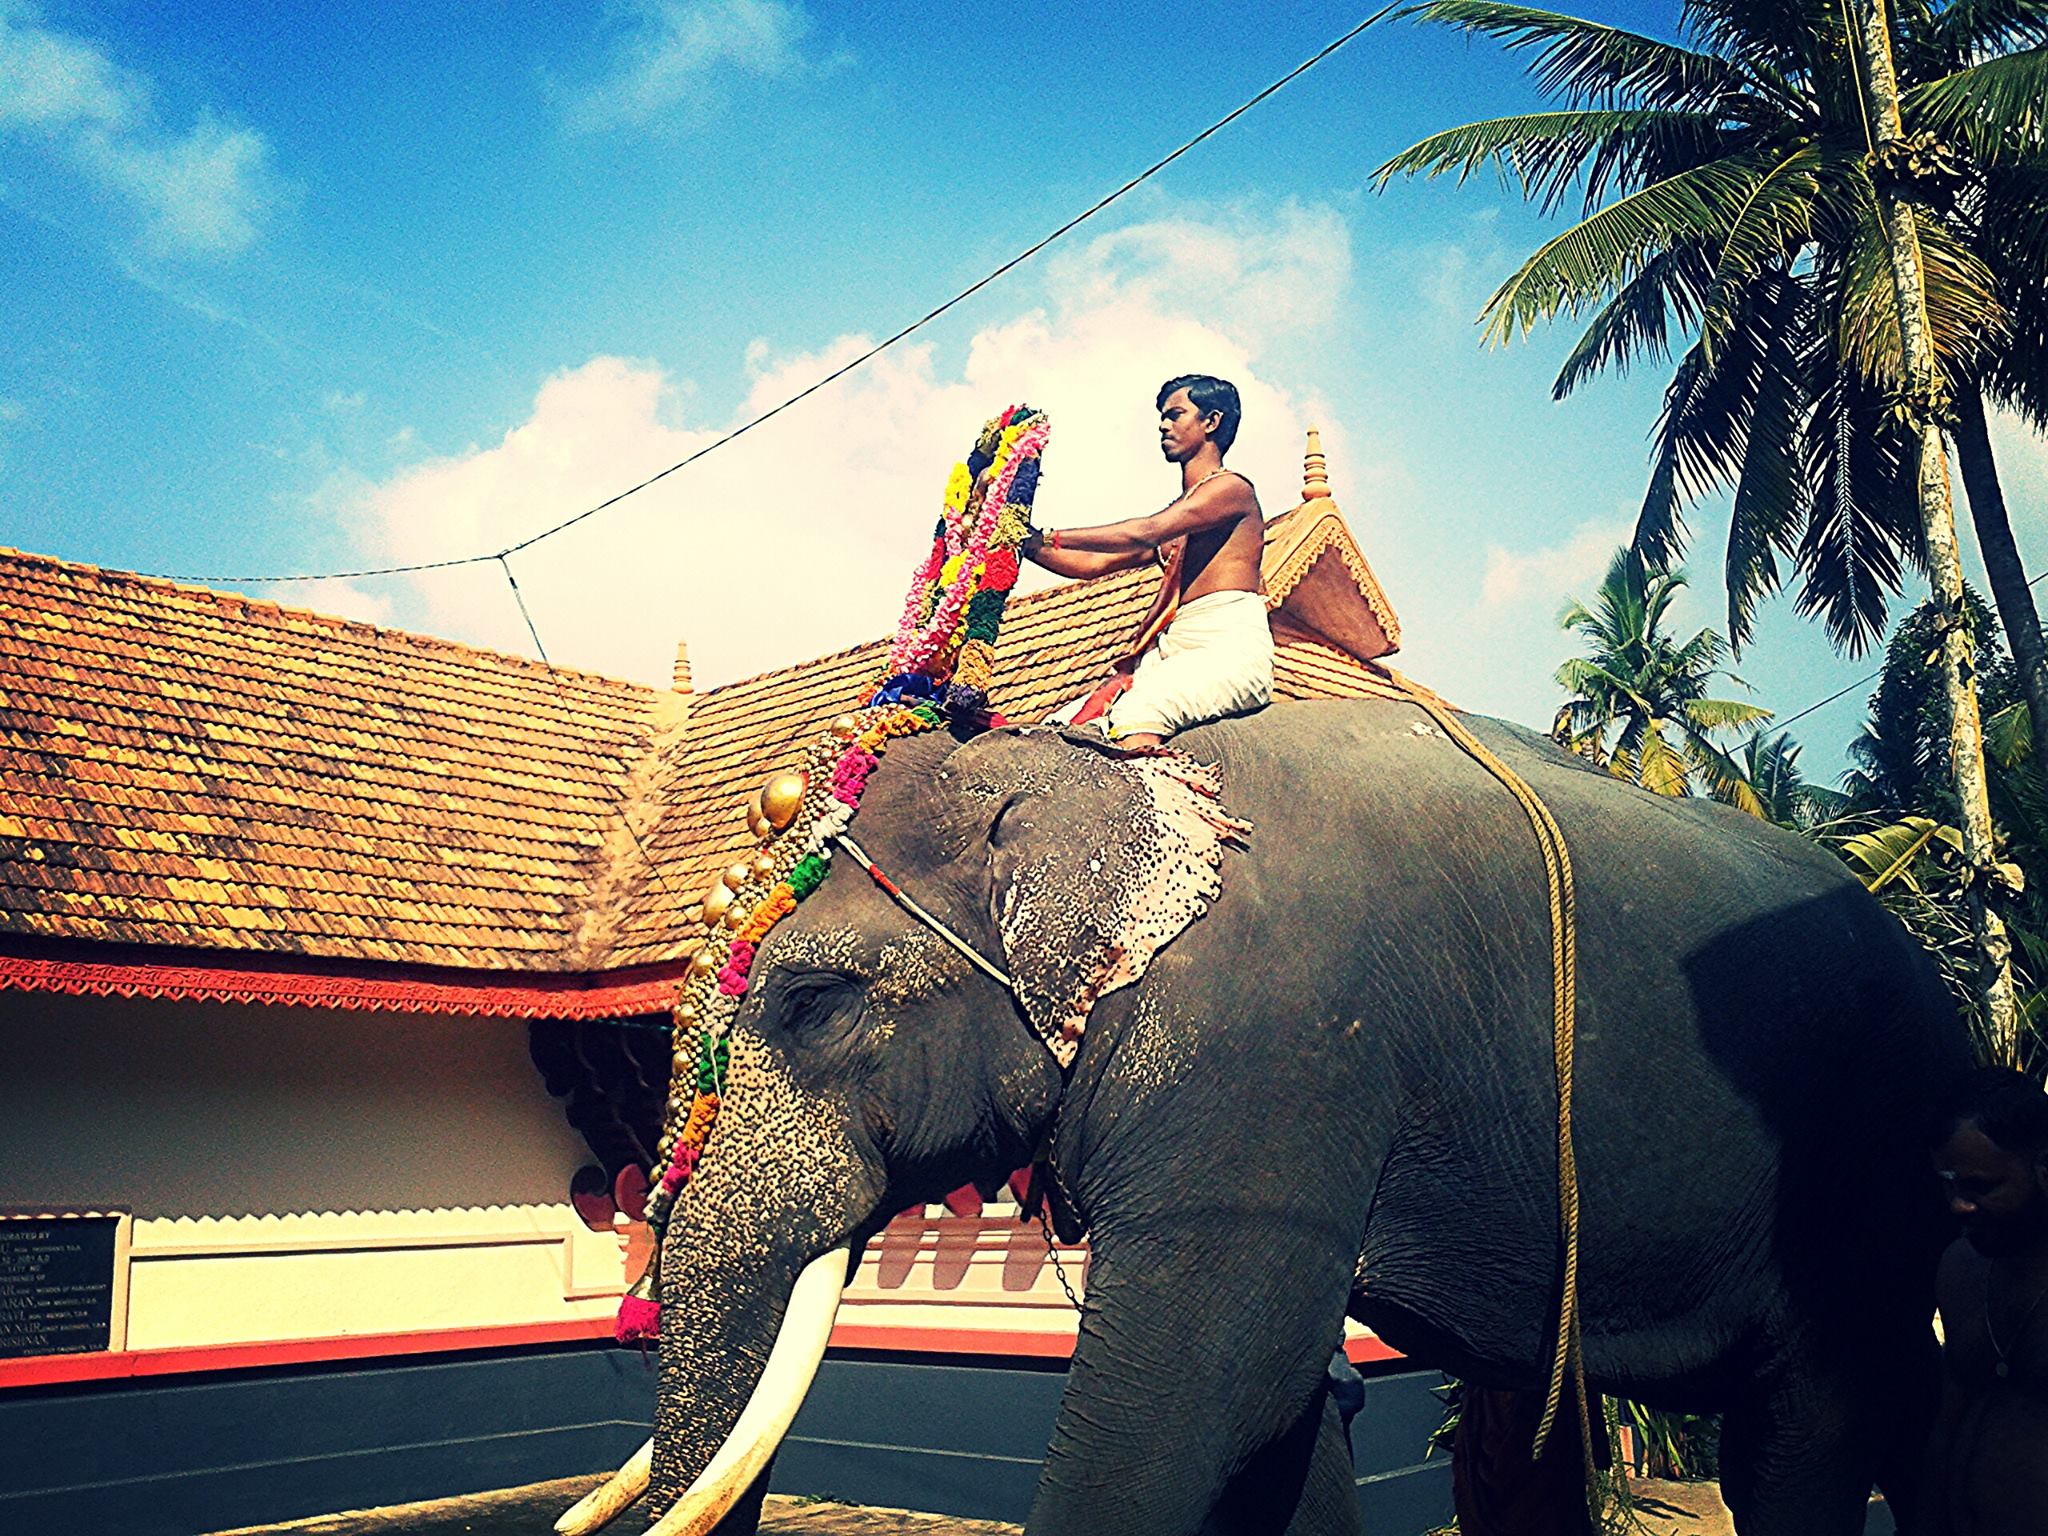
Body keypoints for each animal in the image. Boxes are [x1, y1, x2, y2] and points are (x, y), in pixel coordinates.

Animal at [565, 700, 1966, 1536]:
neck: (1095, 768)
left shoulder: (1270, 1052)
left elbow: (1199, 1386)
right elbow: (1286, 1406)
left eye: (814, 1003)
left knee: (1798, 1431)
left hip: (1870, 1147)